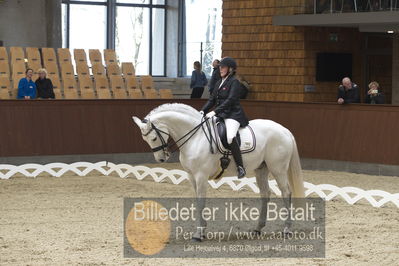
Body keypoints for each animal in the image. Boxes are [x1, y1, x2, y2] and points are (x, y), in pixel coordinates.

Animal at [133, 103, 304, 240]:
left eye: (153, 138)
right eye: (145, 140)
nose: (161, 159)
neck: (196, 137)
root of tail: (284, 130)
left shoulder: (201, 176)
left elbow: (201, 201)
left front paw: (199, 233)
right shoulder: (191, 176)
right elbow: (197, 200)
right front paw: (202, 229)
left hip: (278, 169)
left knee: (286, 193)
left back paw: (287, 229)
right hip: (261, 168)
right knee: (265, 194)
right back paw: (257, 229)